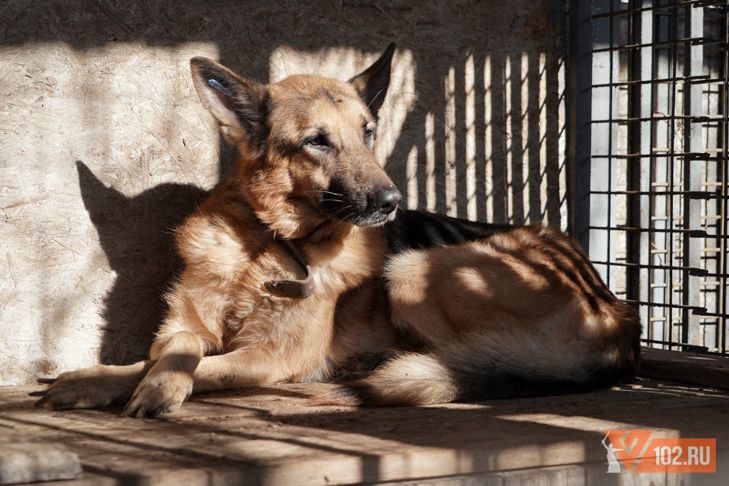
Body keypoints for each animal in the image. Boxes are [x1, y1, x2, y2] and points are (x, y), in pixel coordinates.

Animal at [37, 46, 640, 418]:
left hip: (411, 267)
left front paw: (150, 386)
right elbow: (172, 350)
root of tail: (621, 316)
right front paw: (102, 379)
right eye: (317, 141)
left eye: (368, 132)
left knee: (471, 359)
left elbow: (205, 366)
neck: (265, 245)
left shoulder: (271, 357)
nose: (392, 204)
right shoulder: (183, 325)